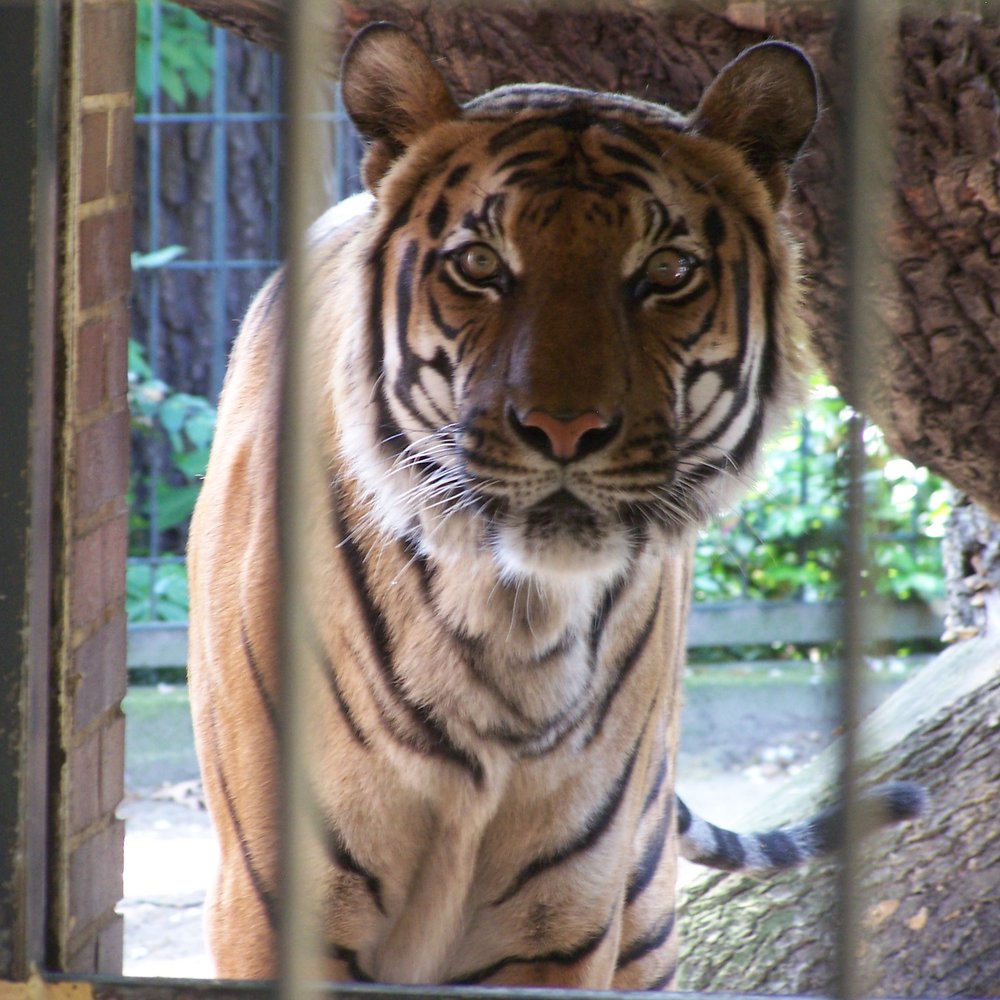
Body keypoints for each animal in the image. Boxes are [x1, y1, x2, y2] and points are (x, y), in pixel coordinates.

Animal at [187, 23, 923, 990]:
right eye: (479, 265)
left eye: (667, 271)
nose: (564, 428)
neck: (510, 627)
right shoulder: (272, 911)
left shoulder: (562, 926)